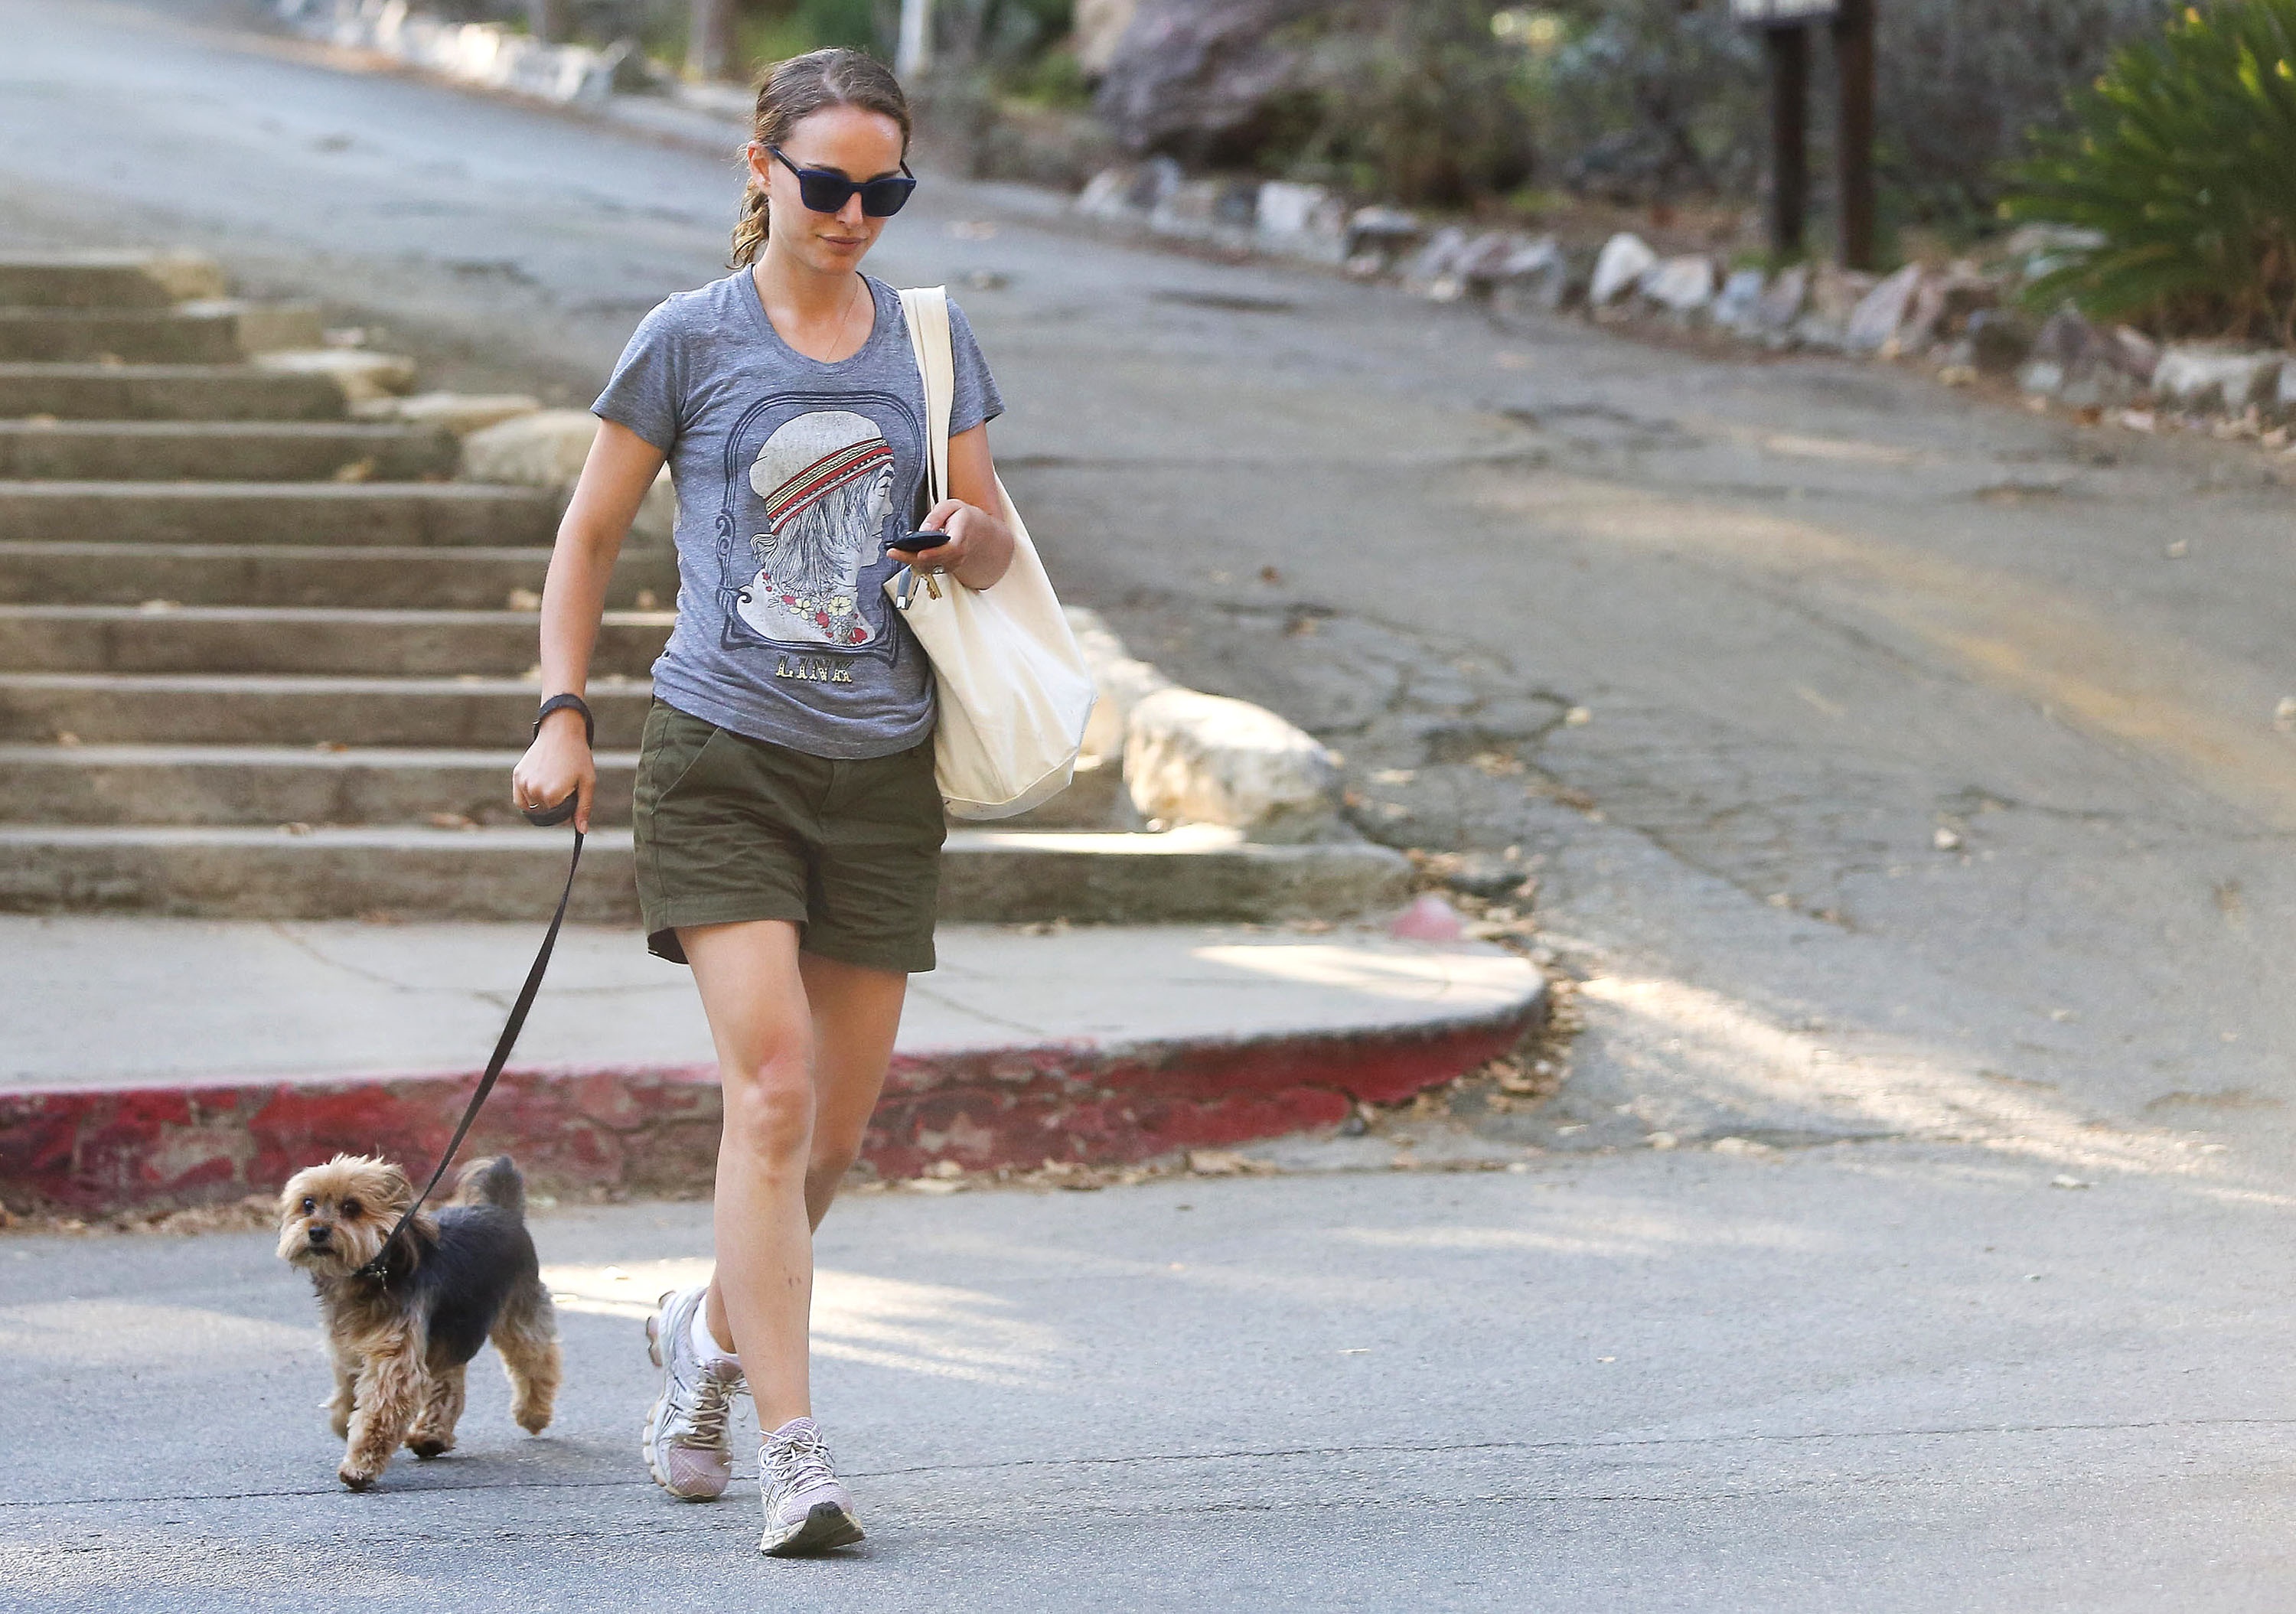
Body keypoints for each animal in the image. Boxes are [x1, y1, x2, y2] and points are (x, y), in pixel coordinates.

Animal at [276, 1162, 563, 1488]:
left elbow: (378, 1412)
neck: (373, 1273)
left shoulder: (394, 1361)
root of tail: (502, 1209)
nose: (316, 1231)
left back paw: (533, 1414)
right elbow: (347, 1393)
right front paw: (343, 1421)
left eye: (351, 1207)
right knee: (450, 1381)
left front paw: (360, 1465)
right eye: (307, 1204)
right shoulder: (348, 1349)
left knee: (537, 1361)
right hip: (447, 1333)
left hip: (519, 1315)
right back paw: (431, 1436)